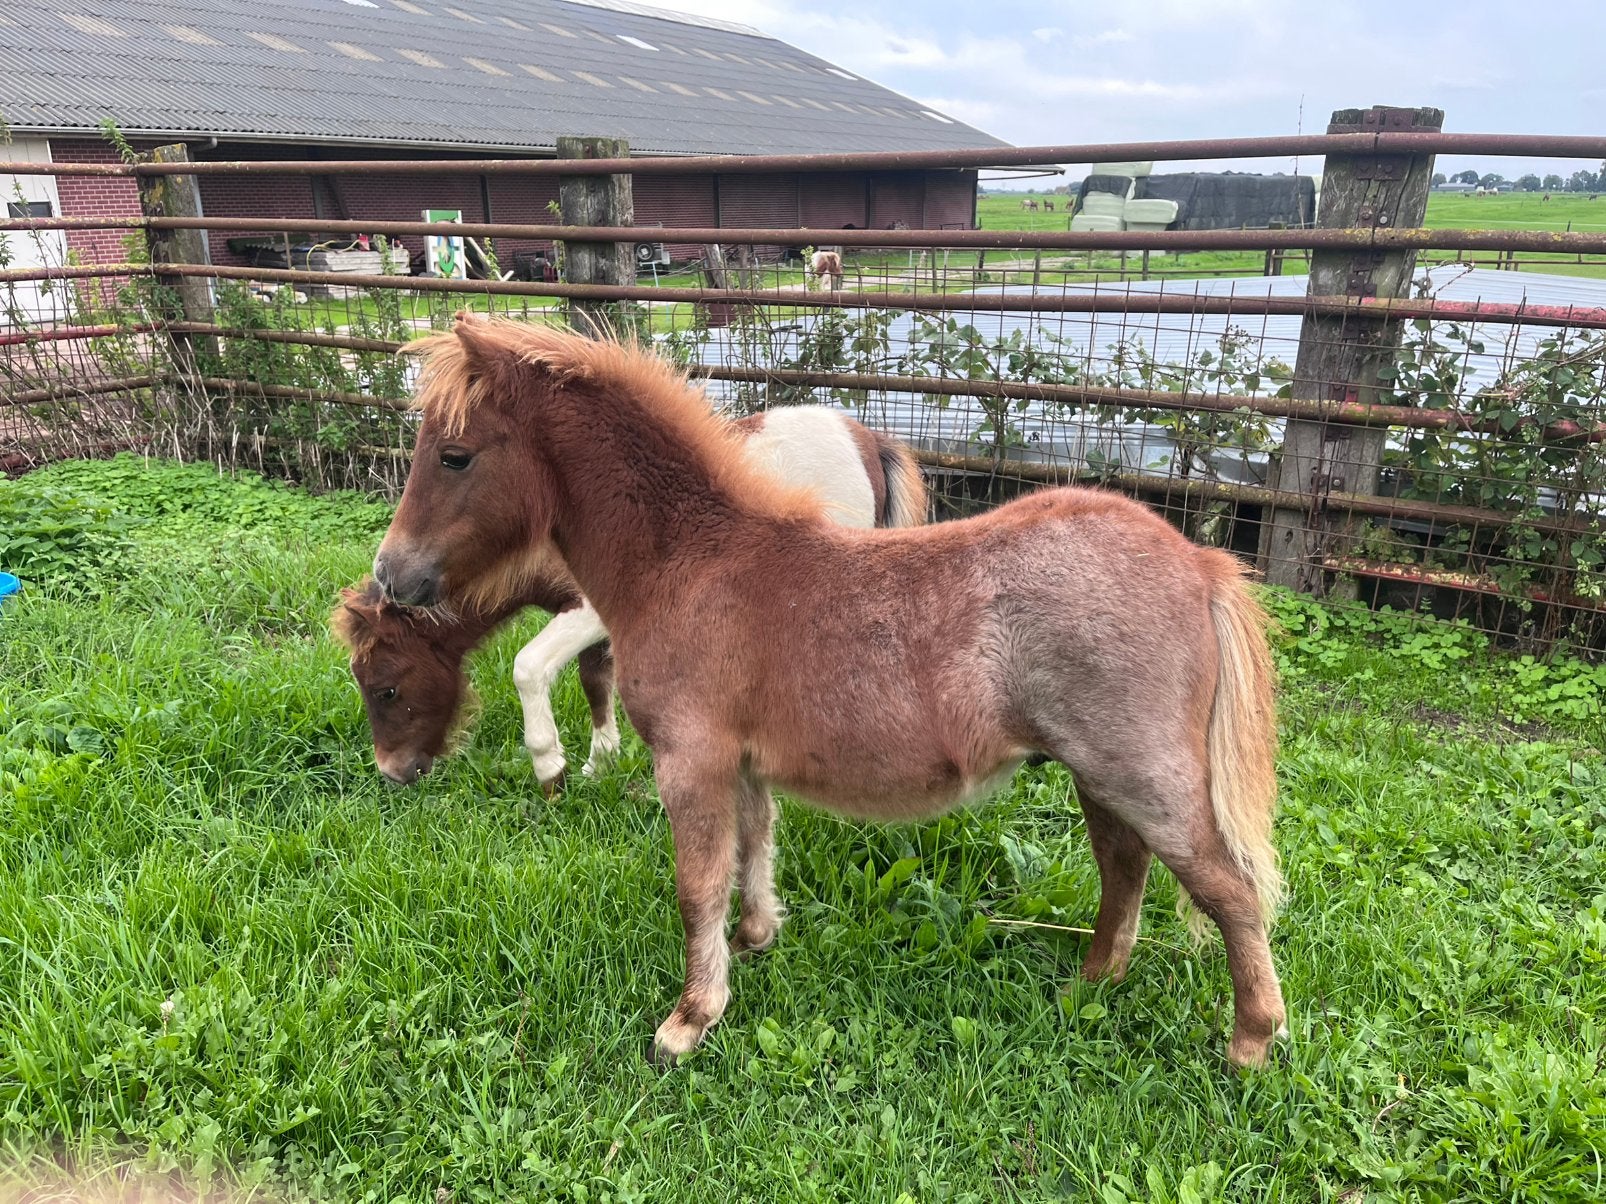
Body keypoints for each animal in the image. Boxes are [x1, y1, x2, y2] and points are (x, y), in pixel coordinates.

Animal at [335, 405, 927, 788]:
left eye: (385, 689)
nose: (391, 774)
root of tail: (866, 438)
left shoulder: (592, 611)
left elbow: (530, 667)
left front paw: (552, 767)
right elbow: (596, 683)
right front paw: (601, 763)